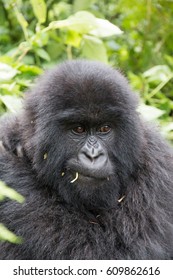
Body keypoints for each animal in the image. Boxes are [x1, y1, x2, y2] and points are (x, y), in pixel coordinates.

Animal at [0, 60, 173, 260]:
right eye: (79, 129)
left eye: (104, 128)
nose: (93, 155)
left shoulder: (157, 169)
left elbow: (117, 252)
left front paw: (6, 165)